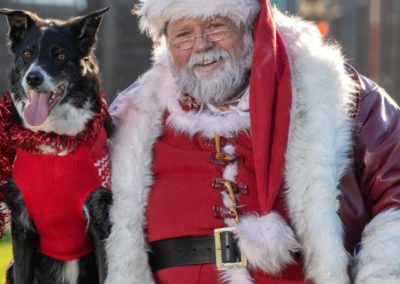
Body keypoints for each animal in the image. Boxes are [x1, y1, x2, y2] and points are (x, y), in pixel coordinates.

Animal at [0, 6, 112, 284]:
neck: (55, 143)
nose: (33, 78)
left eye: (60, 55)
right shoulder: (22, 225)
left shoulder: (101, 220)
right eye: (27, 53)